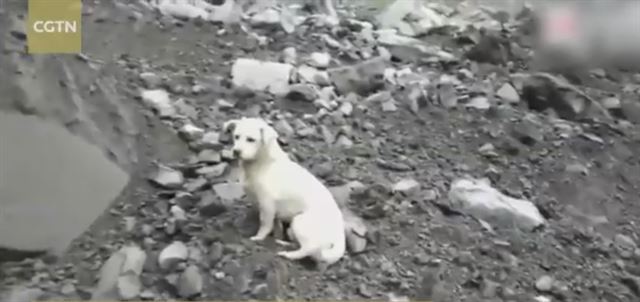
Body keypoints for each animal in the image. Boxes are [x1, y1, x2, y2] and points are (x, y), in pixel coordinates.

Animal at [224, 117, 344, 266]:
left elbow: (265, 224)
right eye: (236, 136)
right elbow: (273, 223)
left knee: (309, 248)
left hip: (299, 222)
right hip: (293, 229)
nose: (236, 151)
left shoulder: (267, 204)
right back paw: (285, 243)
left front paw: (258, 237)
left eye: (251, 139)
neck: (263, 164)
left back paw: (289, 255)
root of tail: (340, 234)